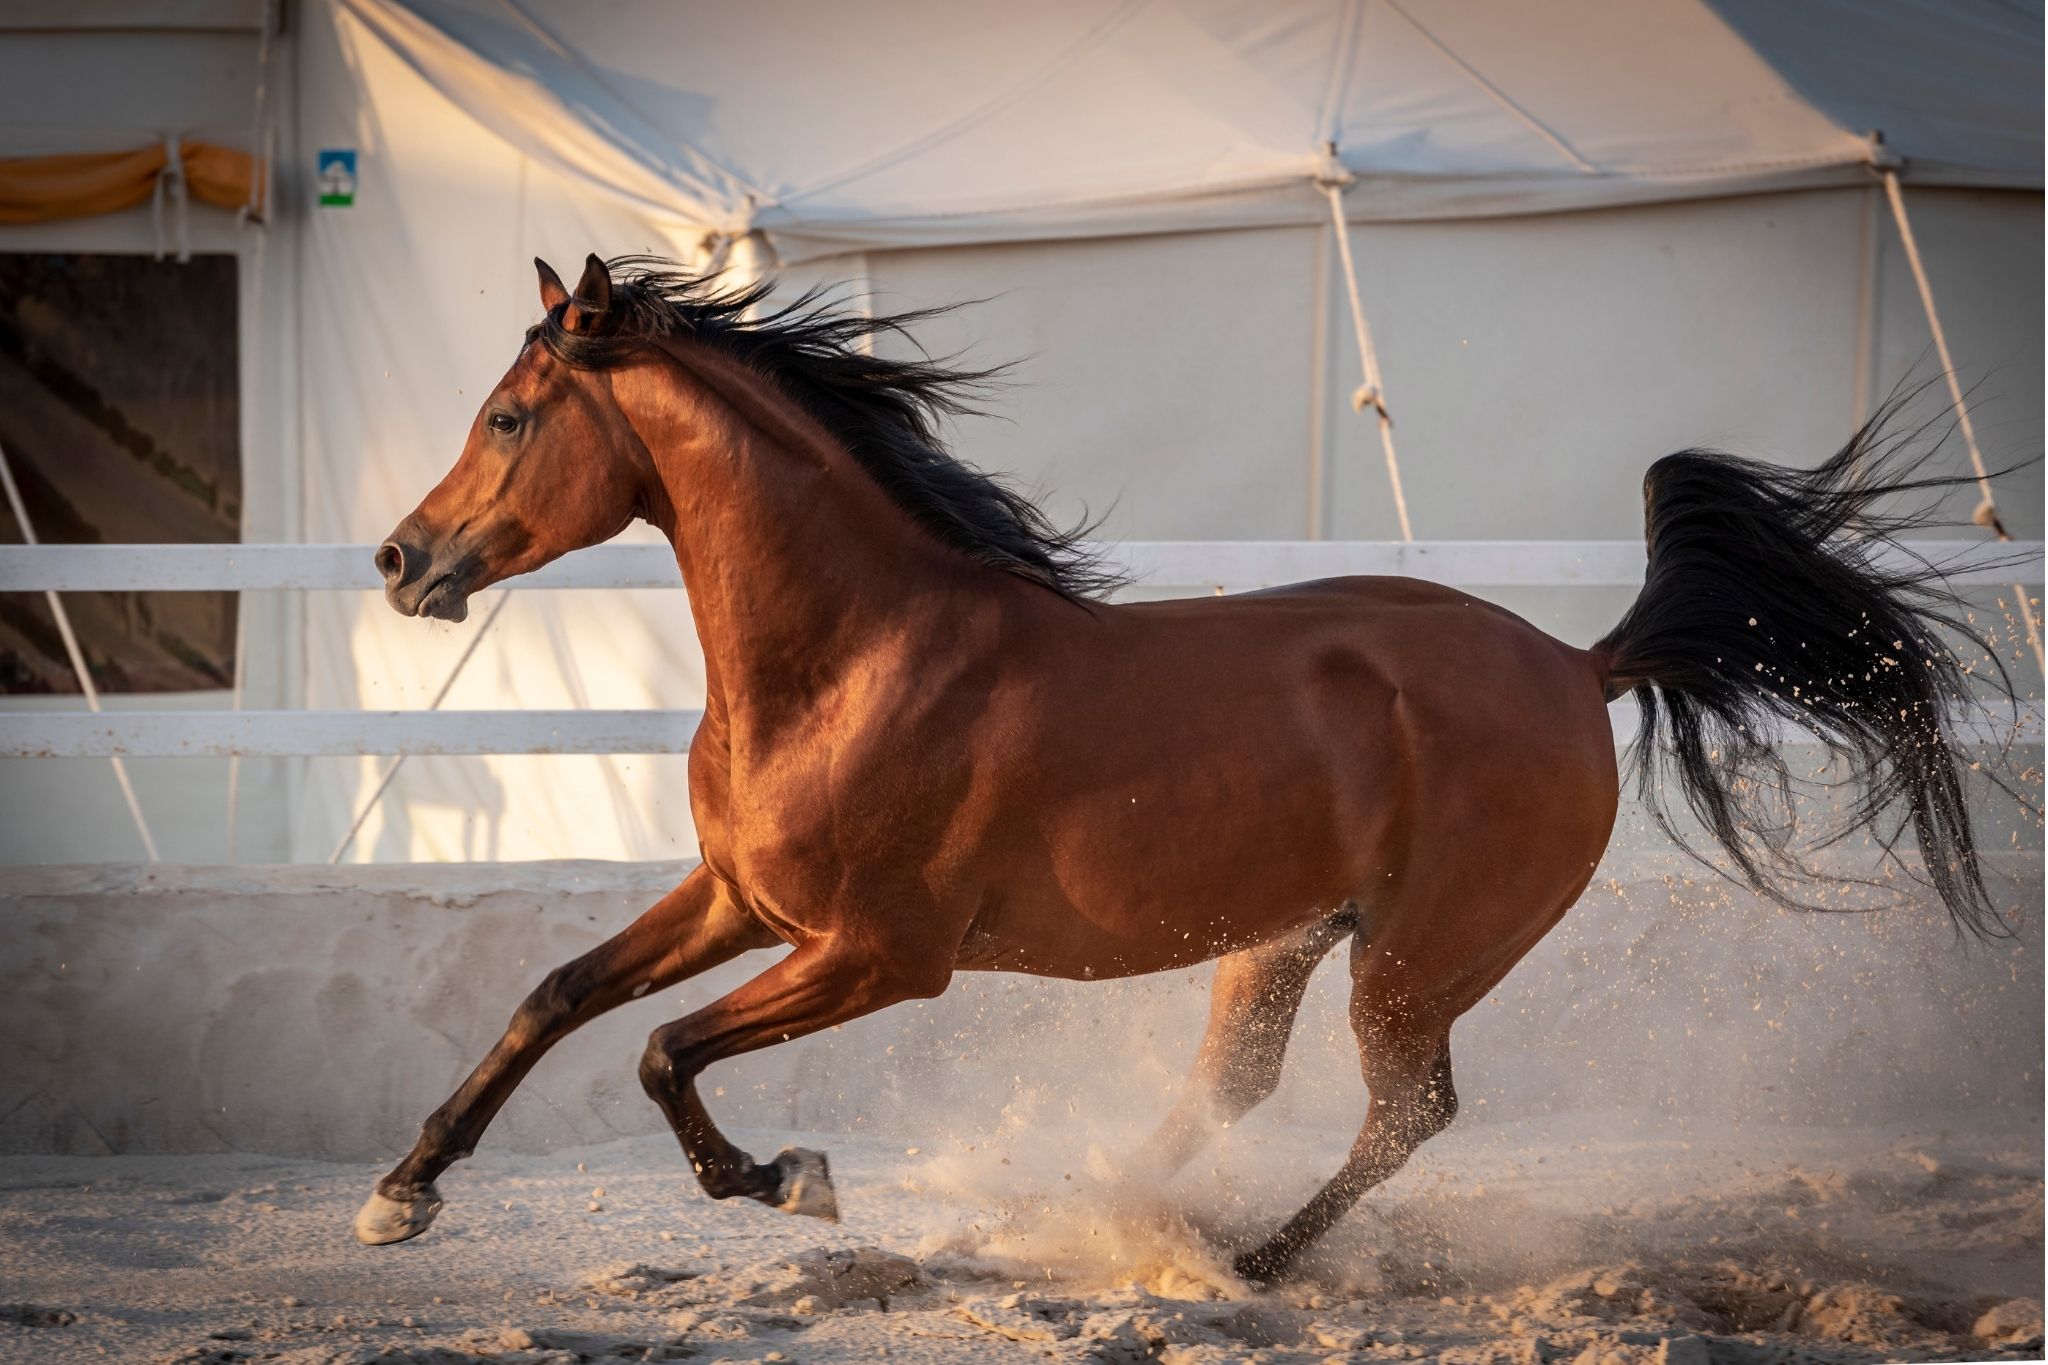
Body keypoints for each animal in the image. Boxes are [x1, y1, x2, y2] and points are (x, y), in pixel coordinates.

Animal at [354, 253, 2016, 1282]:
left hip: (1412, 962)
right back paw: (1118, 1214)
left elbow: (658, 1051)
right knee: (1236, 1086)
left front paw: (791, 1177)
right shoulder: (740, 899)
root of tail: (1577, 663)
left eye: (507, 417)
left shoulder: (878, 955)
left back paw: (1251, 1259)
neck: (855, 657)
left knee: (1407, 1113)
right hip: (1278, 940)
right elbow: (558, 996)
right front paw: (400, 1192)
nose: (398, 561)